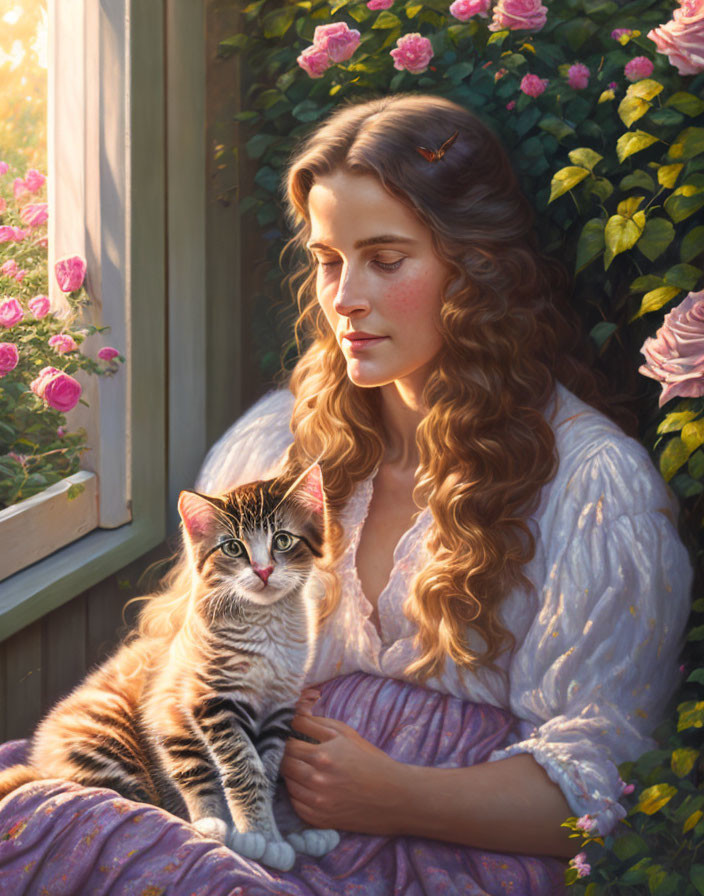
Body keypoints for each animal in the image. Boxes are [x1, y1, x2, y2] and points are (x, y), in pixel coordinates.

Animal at [0, 466, 338, 872]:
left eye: (283, 540)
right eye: (233, 548)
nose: (263, 571)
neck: (265, 626)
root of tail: (41, 763)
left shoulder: (278, 709)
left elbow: (267, 767)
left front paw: (271, 831)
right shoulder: (209, 700)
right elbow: (243, 768)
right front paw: (256, 834)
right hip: (110, 737)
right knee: (137, 799)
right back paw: (211, 825)